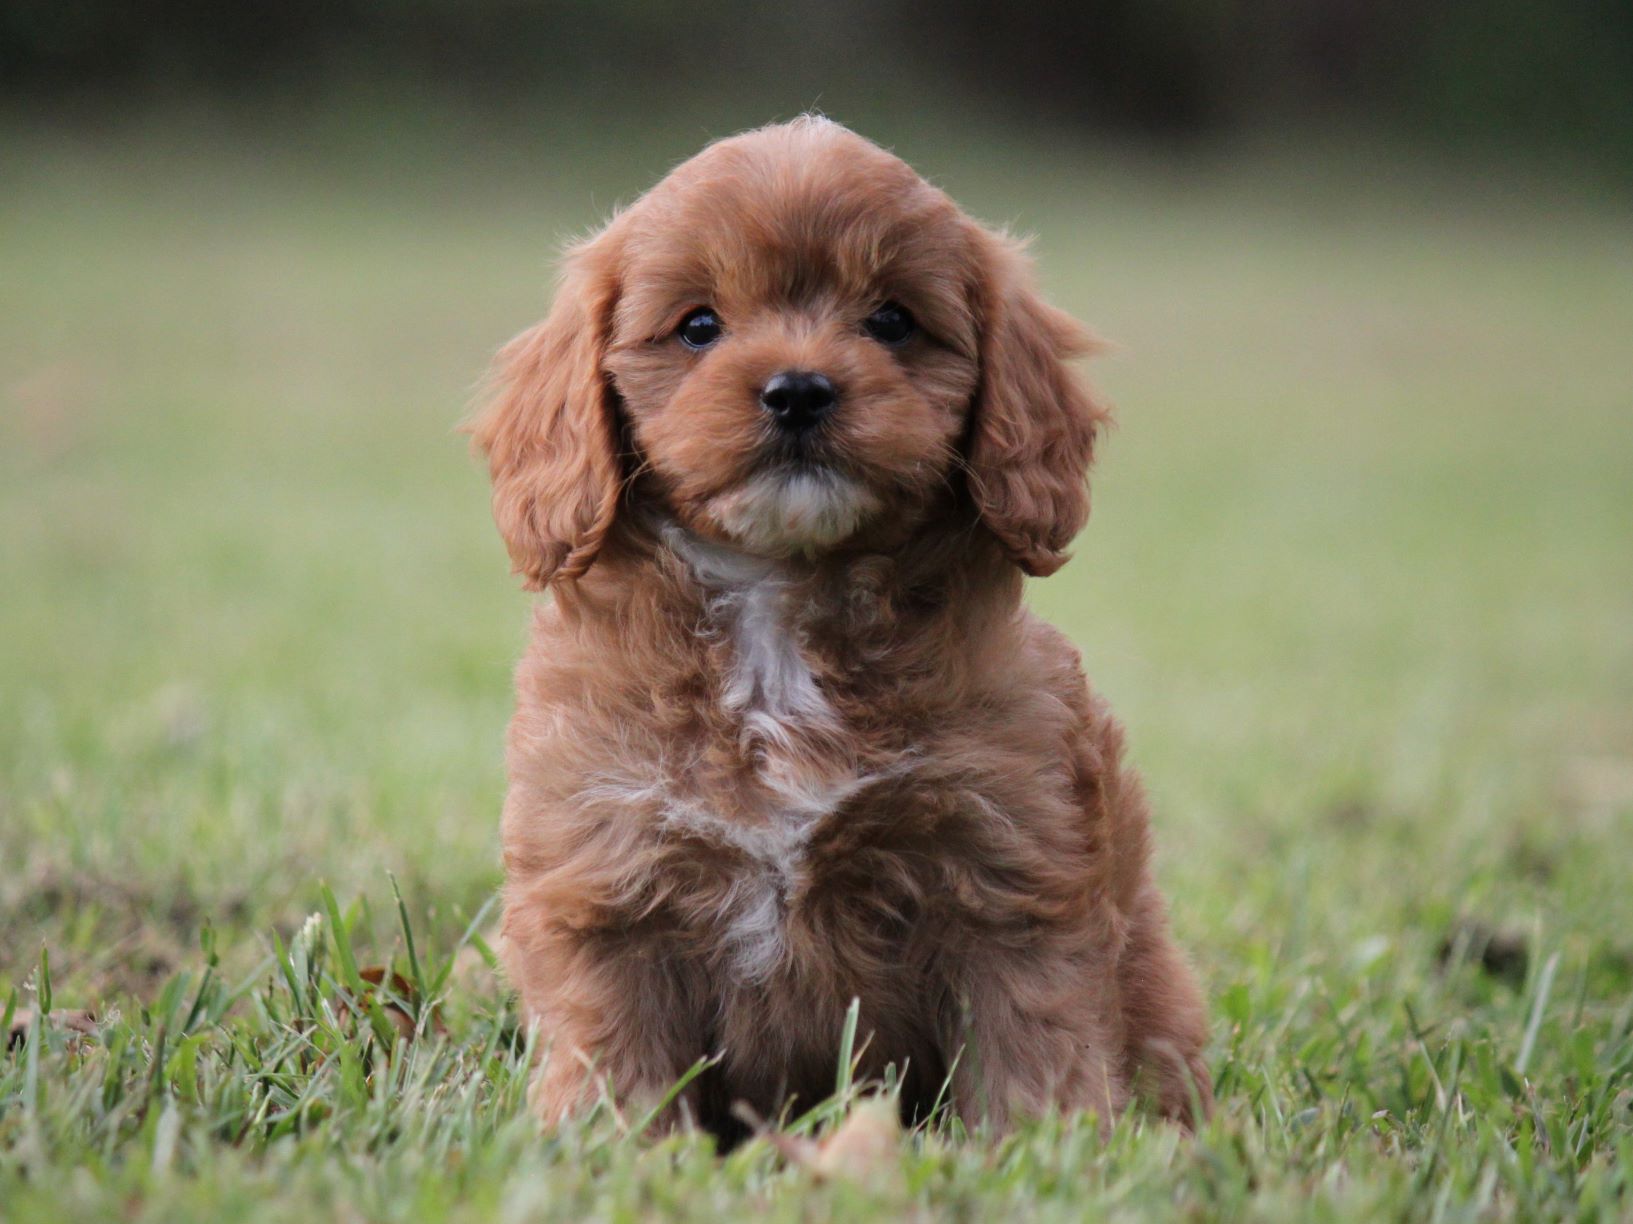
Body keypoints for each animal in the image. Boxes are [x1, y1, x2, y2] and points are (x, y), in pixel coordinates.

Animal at [472, 116, 1209, 1139]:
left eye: (891, 321)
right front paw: (609, 1148)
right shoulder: (606, 883)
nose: (797, 390)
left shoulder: (1009, 878)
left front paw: (1043, 1148)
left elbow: (1033, 1044)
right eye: (697, 327)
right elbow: (612, 1054)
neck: (780, 606)